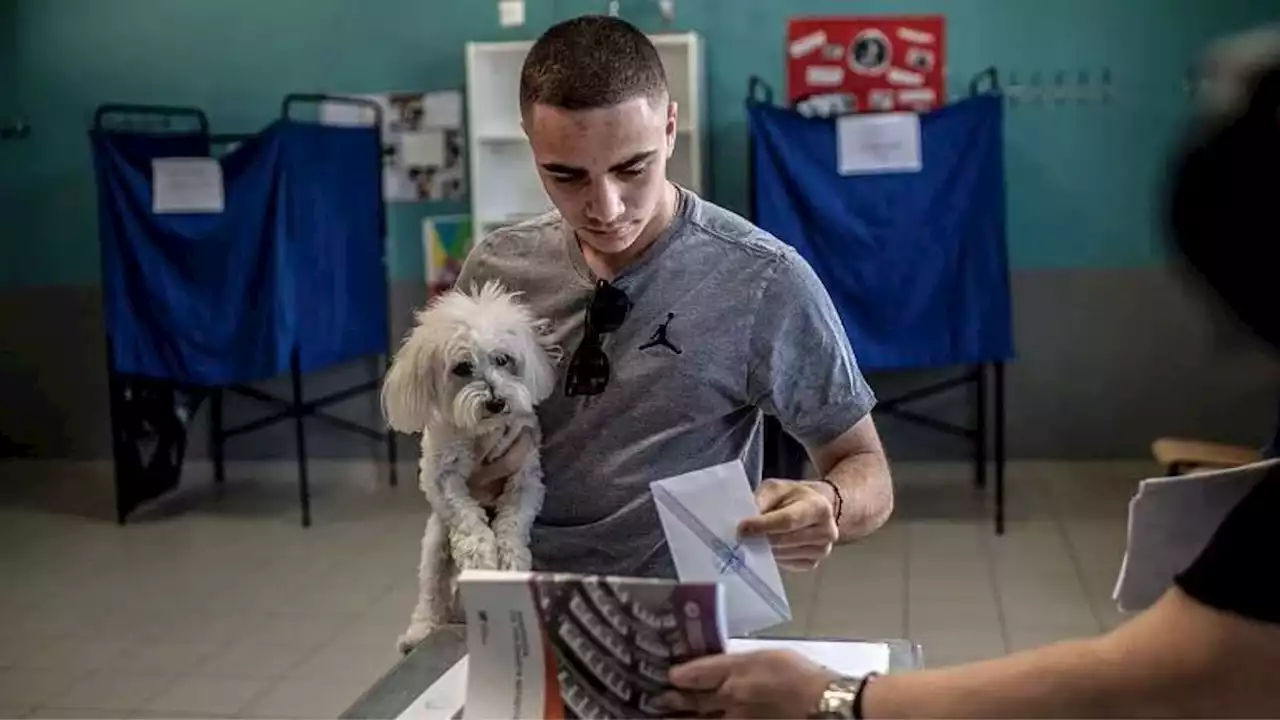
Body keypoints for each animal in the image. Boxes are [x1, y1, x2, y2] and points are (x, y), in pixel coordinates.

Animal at [381, 279, 558, 650]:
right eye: (462, 367)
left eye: (503, 359)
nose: (496, 401)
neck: (481, 433)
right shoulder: (440, 477)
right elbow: (469, 524)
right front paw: (484, 563)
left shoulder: (526, 475)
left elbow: (512, 523)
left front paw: (512, 561)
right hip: (434, 543)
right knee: (431, 593)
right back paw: (418, 632)